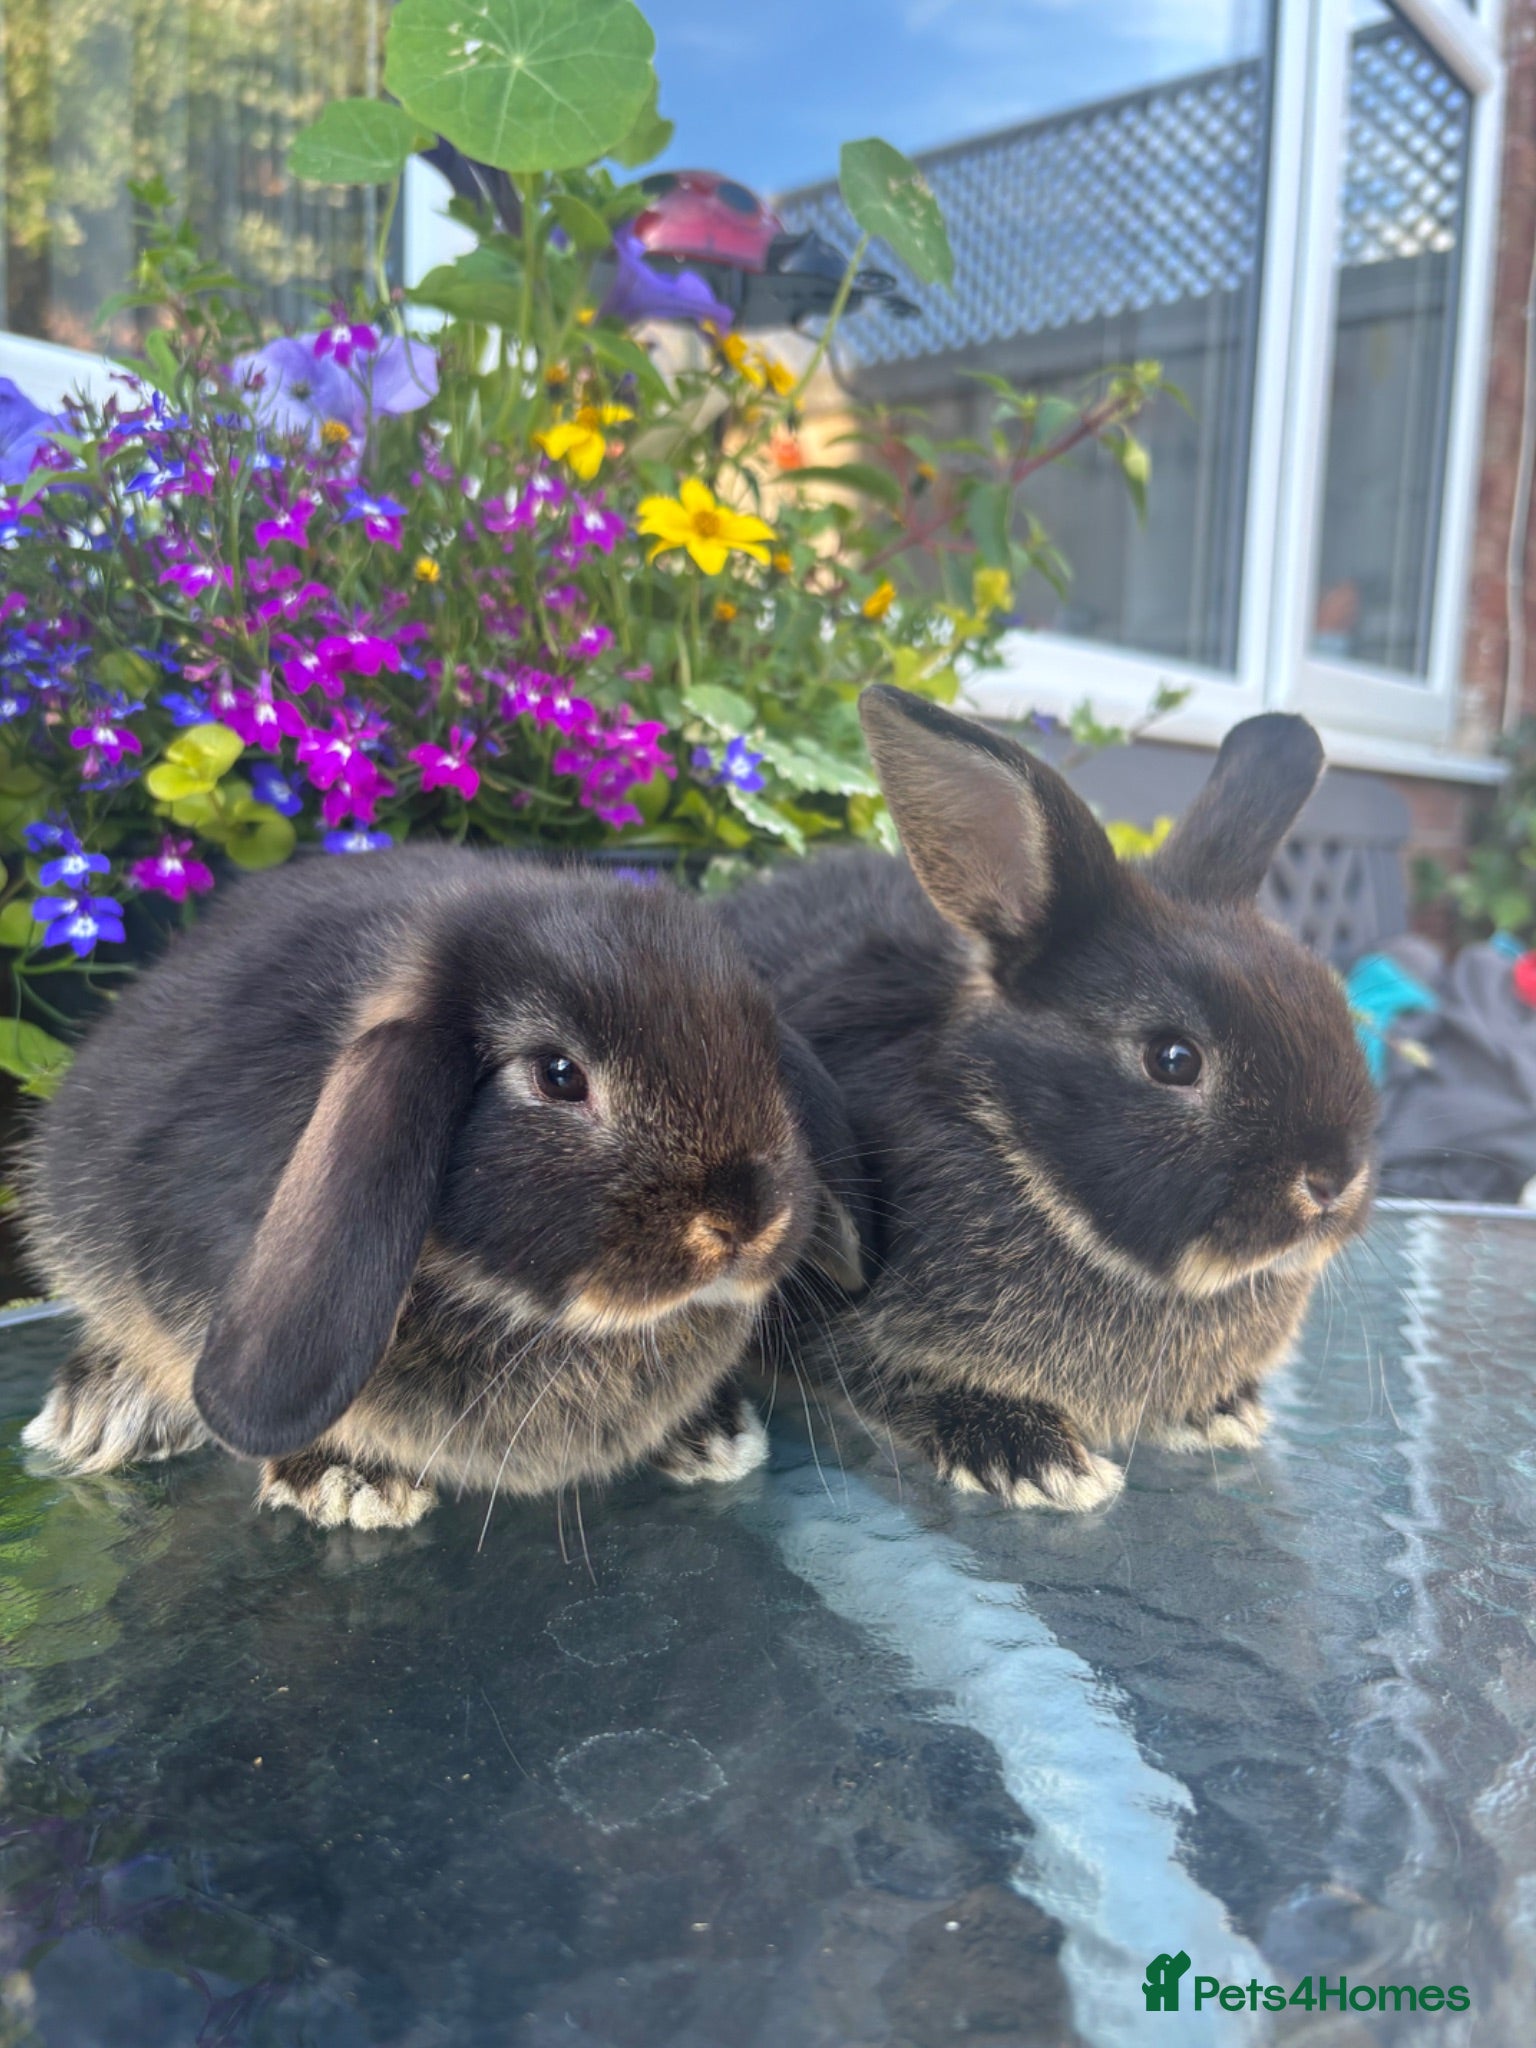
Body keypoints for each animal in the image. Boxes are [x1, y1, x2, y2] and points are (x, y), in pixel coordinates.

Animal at [19, 848, 864, 1529]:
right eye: (559, 1075)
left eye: (763, 1051)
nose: (747, 1222)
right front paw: (349, 1481)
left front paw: (707, 1432)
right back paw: (103, 1406)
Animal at [722, 684, 1377, 1512]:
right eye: (1173, 1059)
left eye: (1334, 1007)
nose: (1333, 1180)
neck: (1009, 1142)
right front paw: (1037, 1458)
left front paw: (1223, 1412)